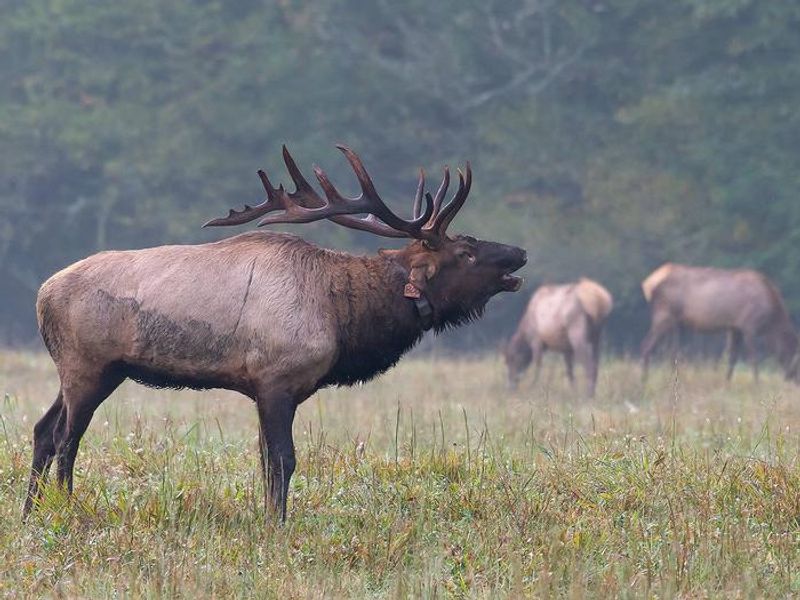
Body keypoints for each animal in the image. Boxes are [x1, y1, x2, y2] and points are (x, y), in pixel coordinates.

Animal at [24, 145, 527, 521]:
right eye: (465, 252)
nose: (519, 253)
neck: (342, 315)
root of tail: (42, 295)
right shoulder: (276, 380)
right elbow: (284, 460)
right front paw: (278, 525)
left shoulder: (270, 388)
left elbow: (266, 461)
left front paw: (268, 517)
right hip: (89, 366)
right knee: (67, 438)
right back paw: (64, 508)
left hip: (89, 371)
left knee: (43, 430)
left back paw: (31, 513)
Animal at [641, 263, 799, 382]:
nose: (794, 381)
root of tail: (648, 284)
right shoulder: (749, 325)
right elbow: (753, 358)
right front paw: (756, 384)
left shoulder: (735, 327)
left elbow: (732, 358)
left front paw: (727, 383)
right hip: (664, 315)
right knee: (647, 345)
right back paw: (644, 381)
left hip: (676, 322)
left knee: (672, 353)